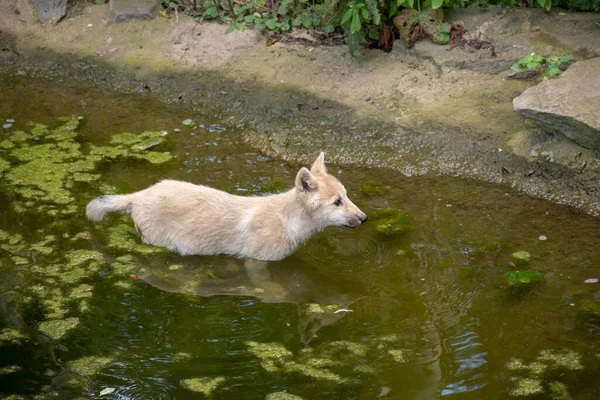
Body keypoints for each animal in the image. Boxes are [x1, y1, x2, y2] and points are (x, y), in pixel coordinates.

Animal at [84, 152, 366, 260]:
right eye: (337, 202)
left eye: (346, 196)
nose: (364, 218)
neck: (287, 219)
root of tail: (139, 196)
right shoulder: (258, 262)